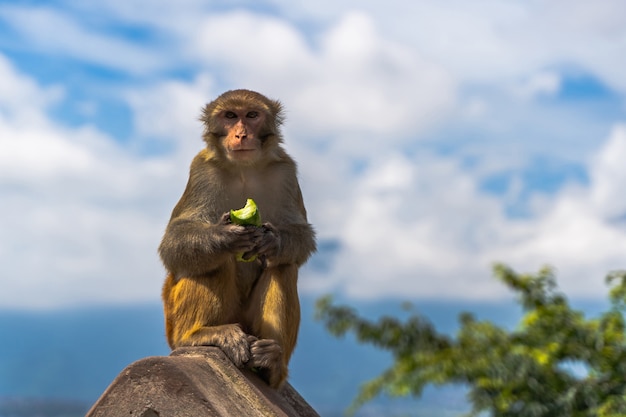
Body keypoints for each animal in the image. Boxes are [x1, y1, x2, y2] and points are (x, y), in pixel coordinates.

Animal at [156, 88, 312, 386]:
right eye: (230, 116)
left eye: (251, 115)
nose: (240, 134)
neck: (244, 168)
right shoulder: (201, 170)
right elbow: (173, 243)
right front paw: (223, 237)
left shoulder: (286, 171)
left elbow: (302, 236)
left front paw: (271, 240)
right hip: (175, 324)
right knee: (211, 262)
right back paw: (199, 334)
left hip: (249, 324)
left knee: (283, 266)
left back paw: (271, 362)